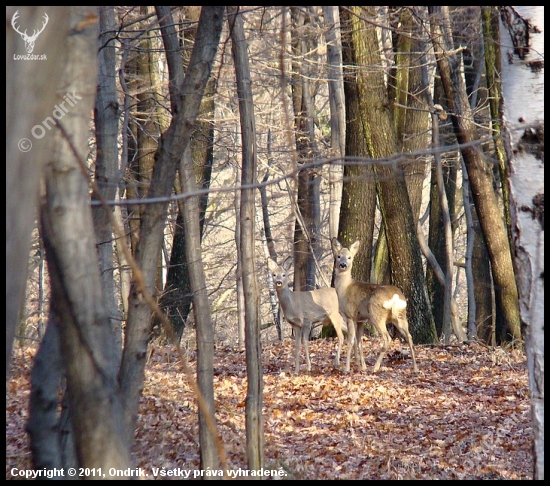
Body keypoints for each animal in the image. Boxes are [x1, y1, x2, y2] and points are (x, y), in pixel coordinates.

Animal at [332, 238, 418, 372]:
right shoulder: (360, 319)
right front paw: (361, 366)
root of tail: (395, 297)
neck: (344, 289)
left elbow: (350, 341)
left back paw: (376, 367)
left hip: (376, 314)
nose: (343, 265)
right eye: (338, 256)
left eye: (350, 257)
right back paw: (415, 368)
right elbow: (359, 342)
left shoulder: (350, 315)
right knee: (409, 336)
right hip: (401, 315)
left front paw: (347, 368)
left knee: (387, 338)